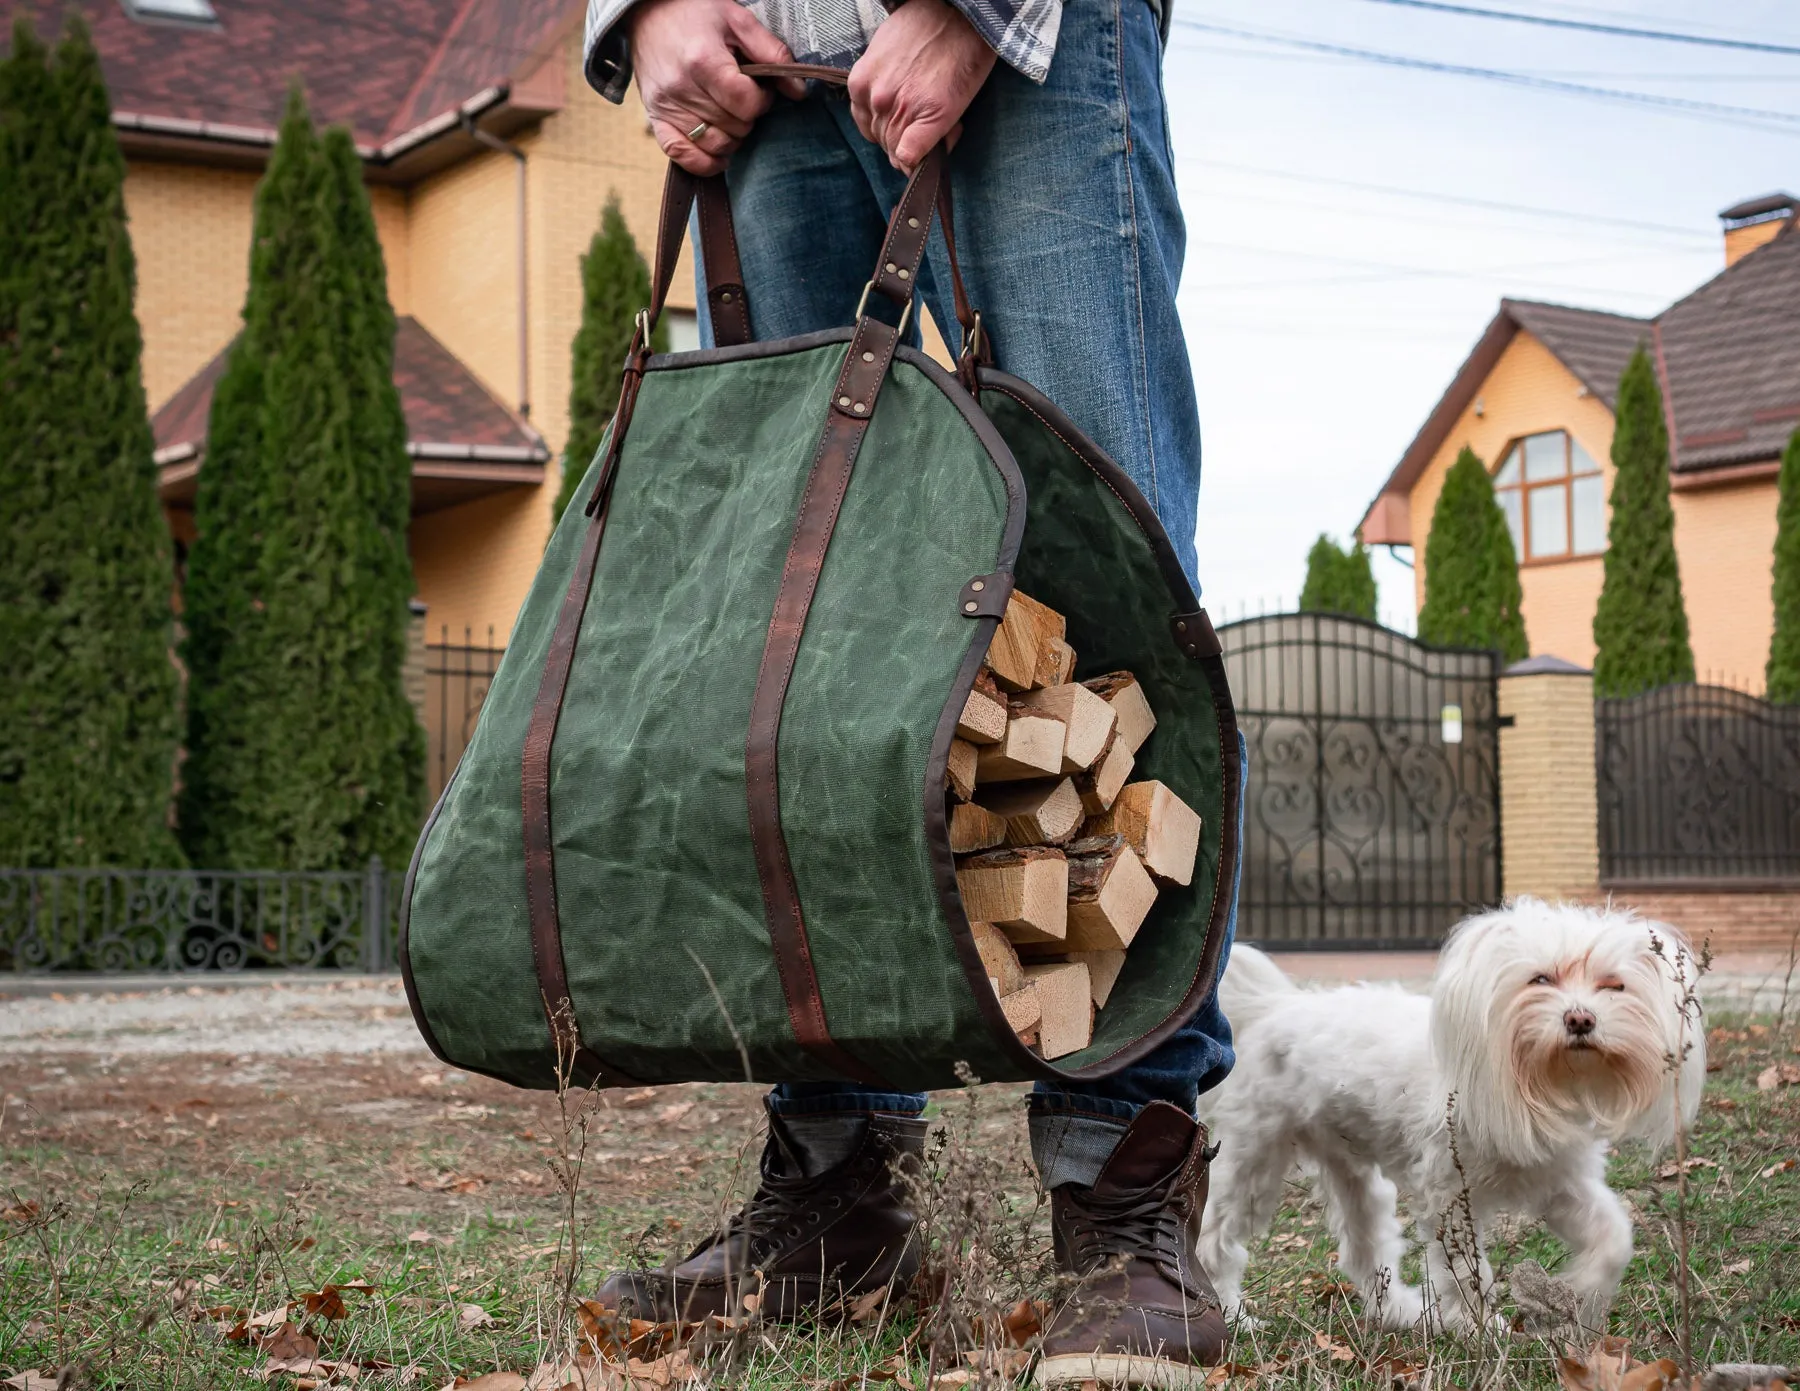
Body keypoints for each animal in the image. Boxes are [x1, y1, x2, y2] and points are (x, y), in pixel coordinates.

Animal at [1195, 896, 1699, 1331]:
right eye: (1540, 980)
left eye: (1613, 985)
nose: (1581, 1019)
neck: (1533, 1083)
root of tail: (1276, 1005)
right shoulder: (1451, 1194)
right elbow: (1462, 1268)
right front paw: (1476, 1326)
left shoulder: (1561, 1183)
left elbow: (1612, 1238)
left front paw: (1580, 1294)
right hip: (1253, 1155)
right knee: (1214, 1238)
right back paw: (1230, 1315)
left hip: (1352, 1171)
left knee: (1364, 1247)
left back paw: (1398, 1311)